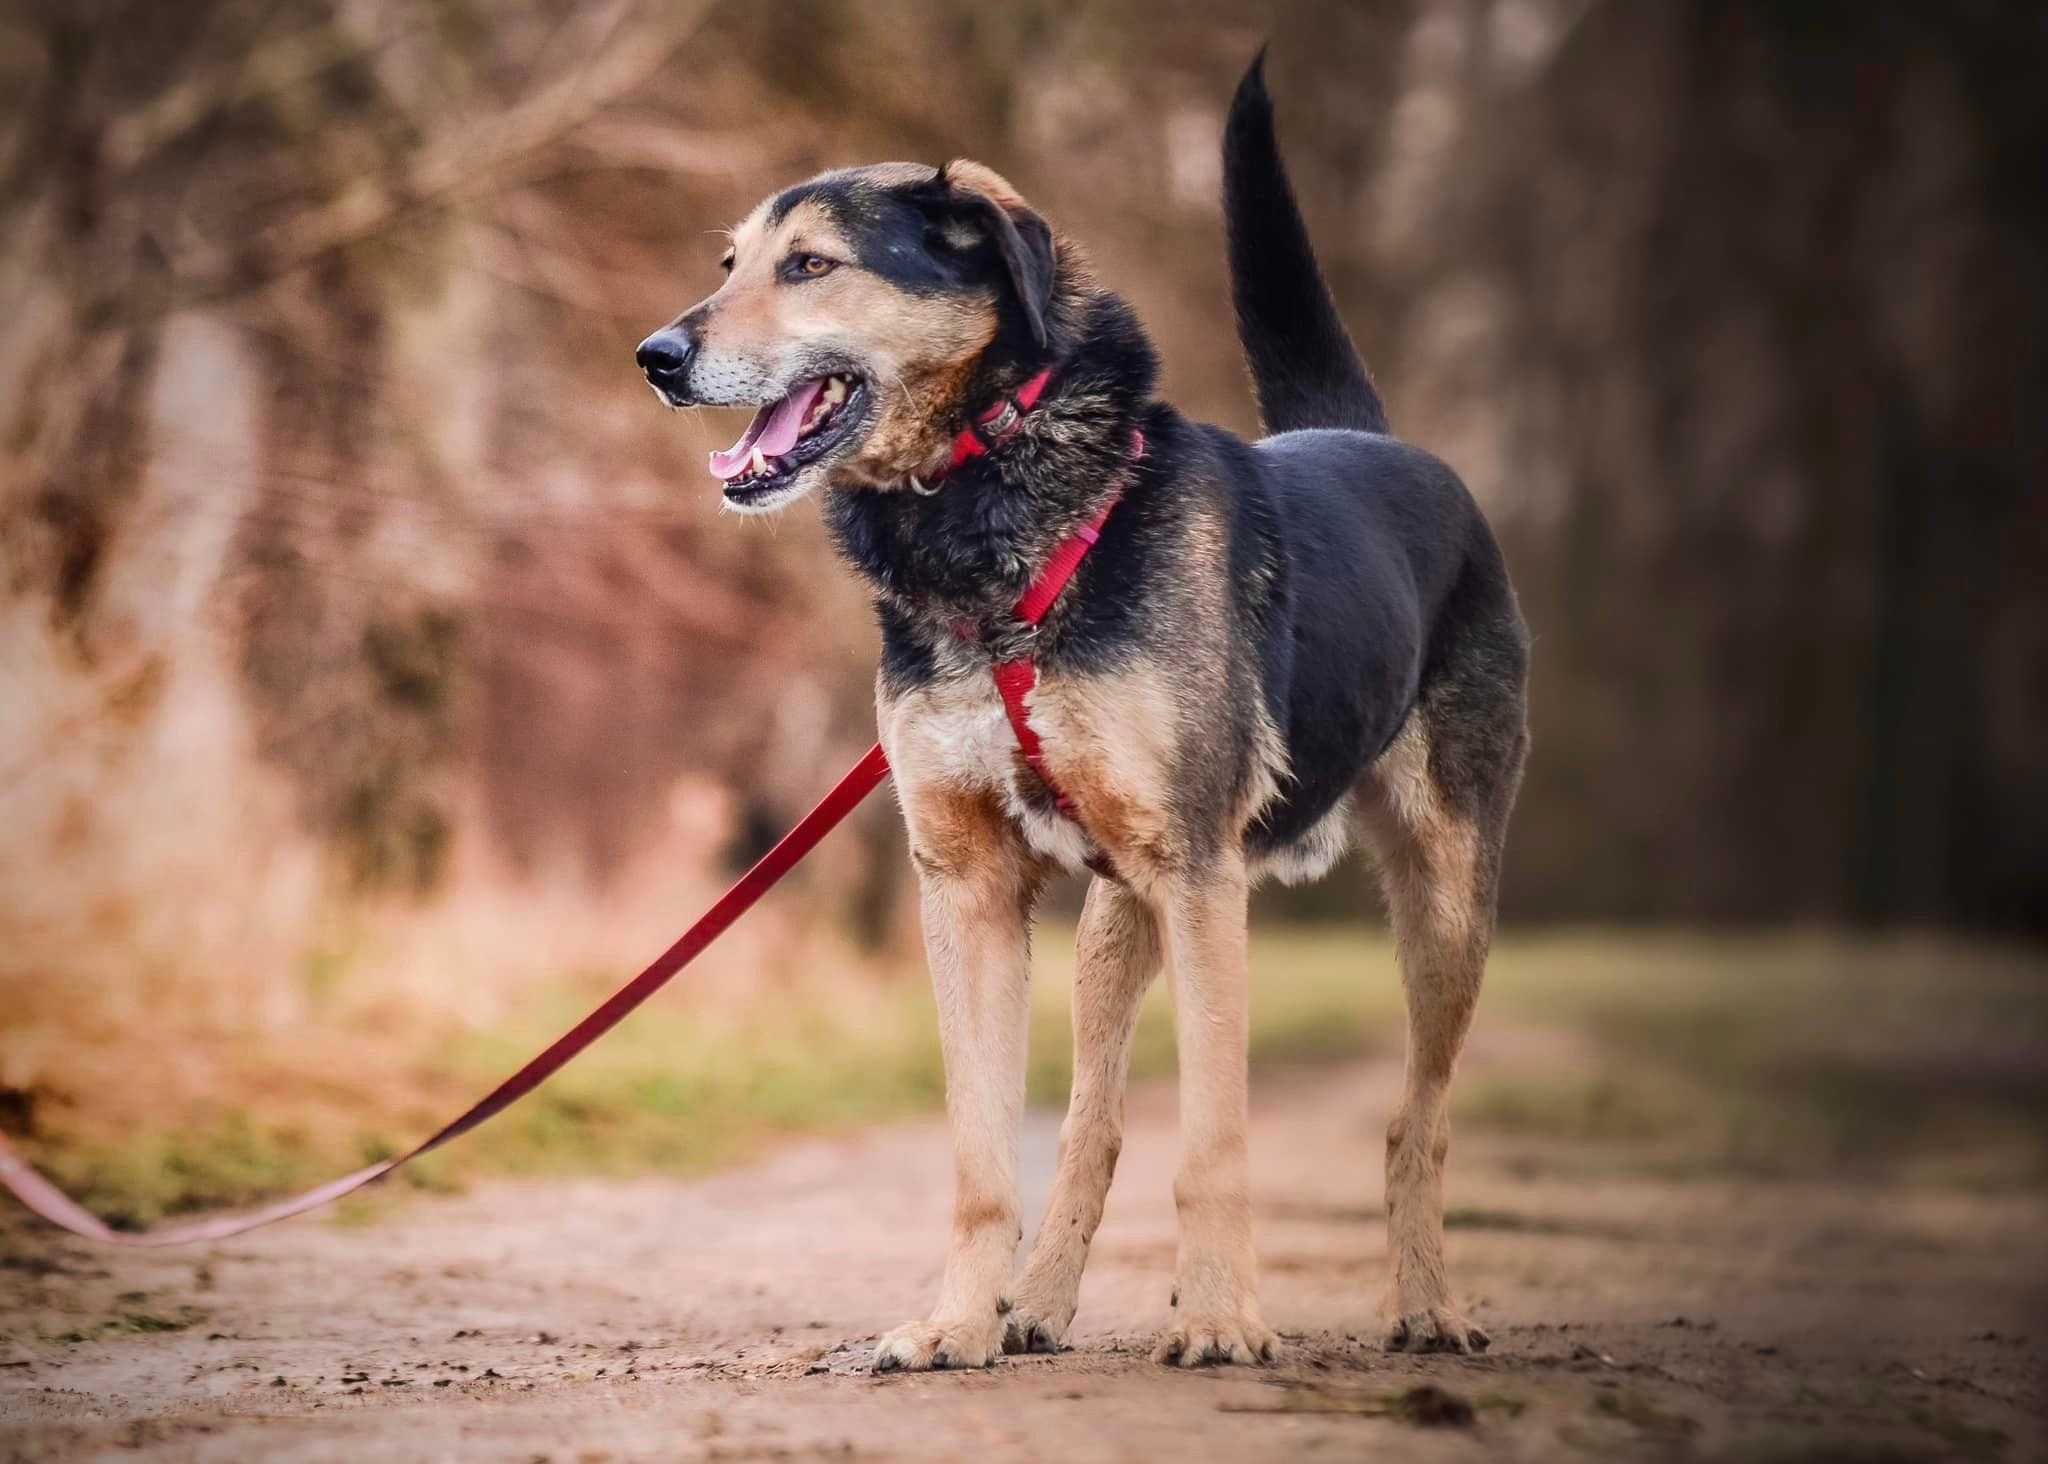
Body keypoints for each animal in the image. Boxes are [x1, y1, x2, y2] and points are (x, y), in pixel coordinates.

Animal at [630, 48, 1531, 1375]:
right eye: (728, 262)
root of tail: (1372, 439)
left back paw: (1426, 1306)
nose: (653, 355)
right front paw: (956, 1322)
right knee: (1090, 1126)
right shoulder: (965, 886)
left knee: (1415, 1117)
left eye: (811, 265)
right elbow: (978, 1157)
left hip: (1441, 896)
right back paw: (1039, 1306)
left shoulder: (1200, 877)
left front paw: (1218, 1320)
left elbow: (1214, 1141)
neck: (984, 522)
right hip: (1116, 923)